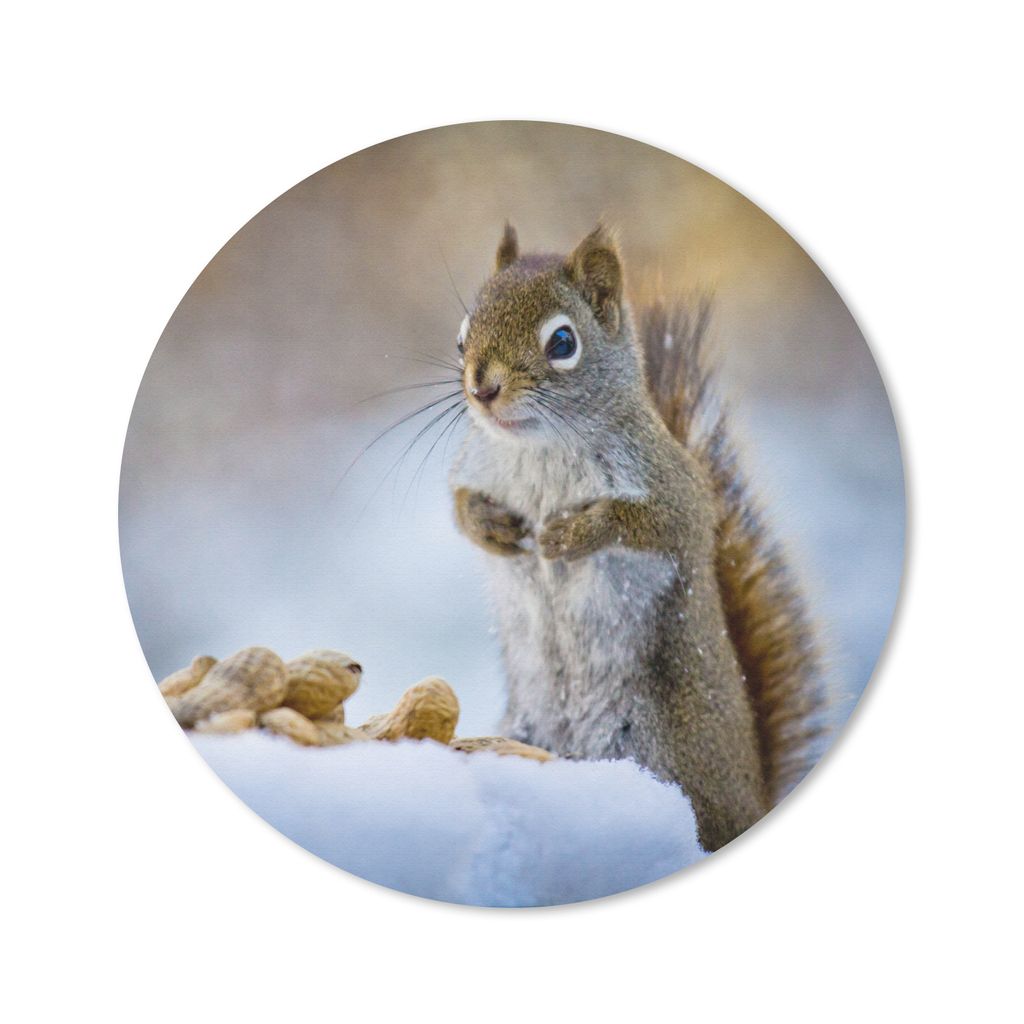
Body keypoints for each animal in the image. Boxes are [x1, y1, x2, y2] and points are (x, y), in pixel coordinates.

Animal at [449, 223, 824, 852]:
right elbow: (458, 508)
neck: (540, 448)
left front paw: (573, 532)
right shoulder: (473, 467)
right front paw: (492, 527)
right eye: (460, 338)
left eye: (562, 342)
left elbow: (656, 524)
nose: (483, 388)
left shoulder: (675, 490)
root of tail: (753, 807)